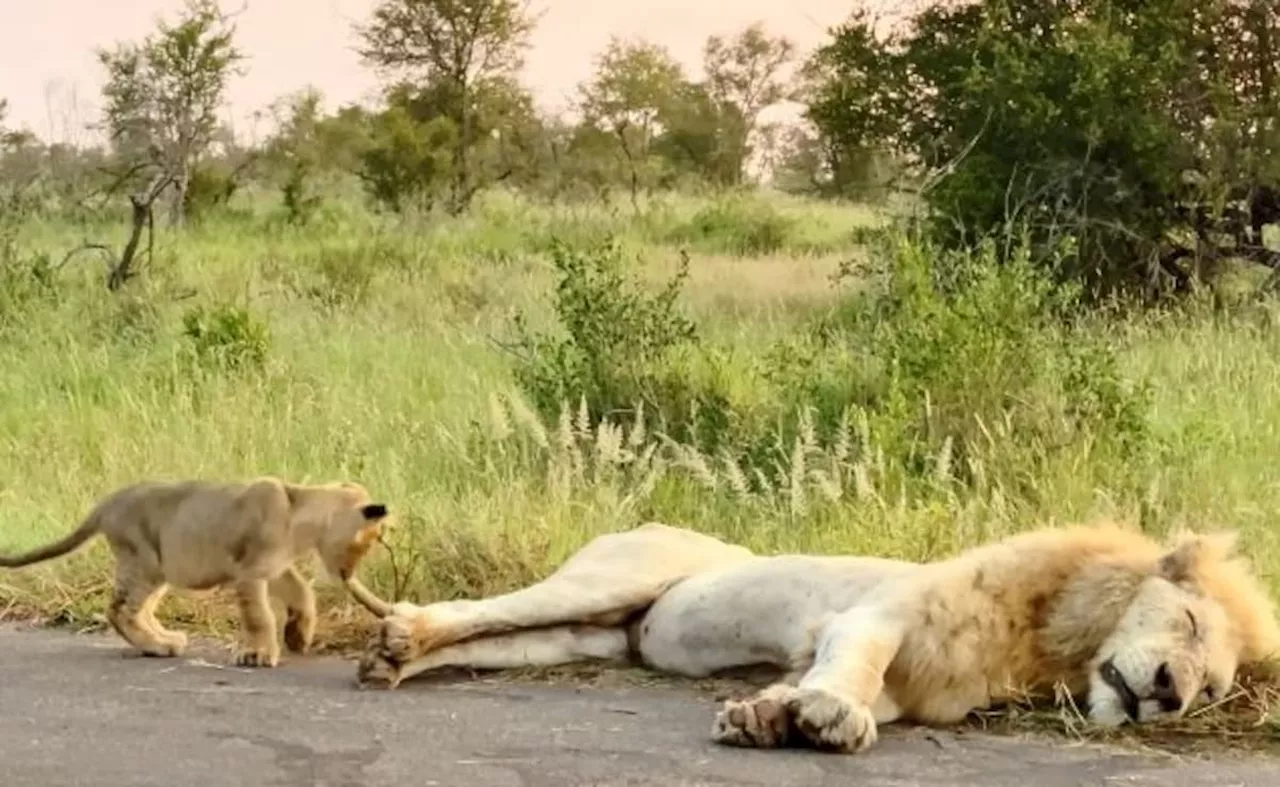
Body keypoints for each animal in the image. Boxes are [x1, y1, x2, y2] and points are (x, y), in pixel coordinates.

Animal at [353, 519, 1280, 752]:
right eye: (1187, 621)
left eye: (1213, 687)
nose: (1171, 693)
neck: (1045, 639)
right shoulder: (874, 615)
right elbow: (854, 665)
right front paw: (831, 715)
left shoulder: (917, 686)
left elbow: (835, 686)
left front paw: (768, 715)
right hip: (612, 577)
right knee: (490, 607)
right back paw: (401, 633)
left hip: (588, 640)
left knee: (502, 640)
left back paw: (395, 657)